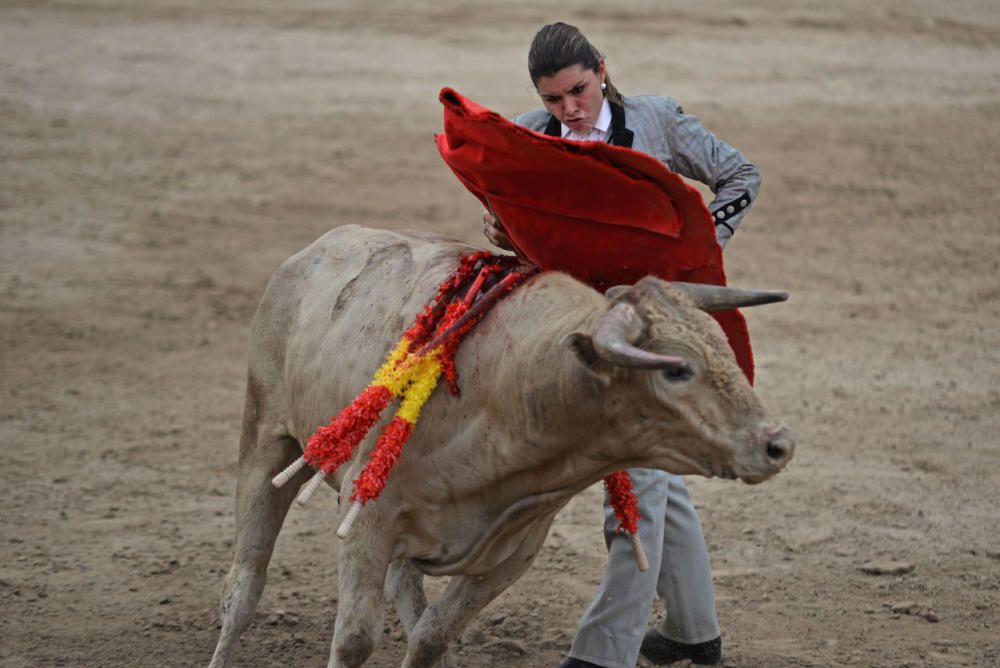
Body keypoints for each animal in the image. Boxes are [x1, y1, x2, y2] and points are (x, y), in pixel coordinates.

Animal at [209, 226, 796, 668]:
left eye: (722, 345)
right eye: (676, 369)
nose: (778, 444)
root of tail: (311, 252)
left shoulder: (516, 549)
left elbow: (432, 634)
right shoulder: (366, 516)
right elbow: (354, 640)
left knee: (407, 593)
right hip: (266, 436)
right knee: (244, 583)